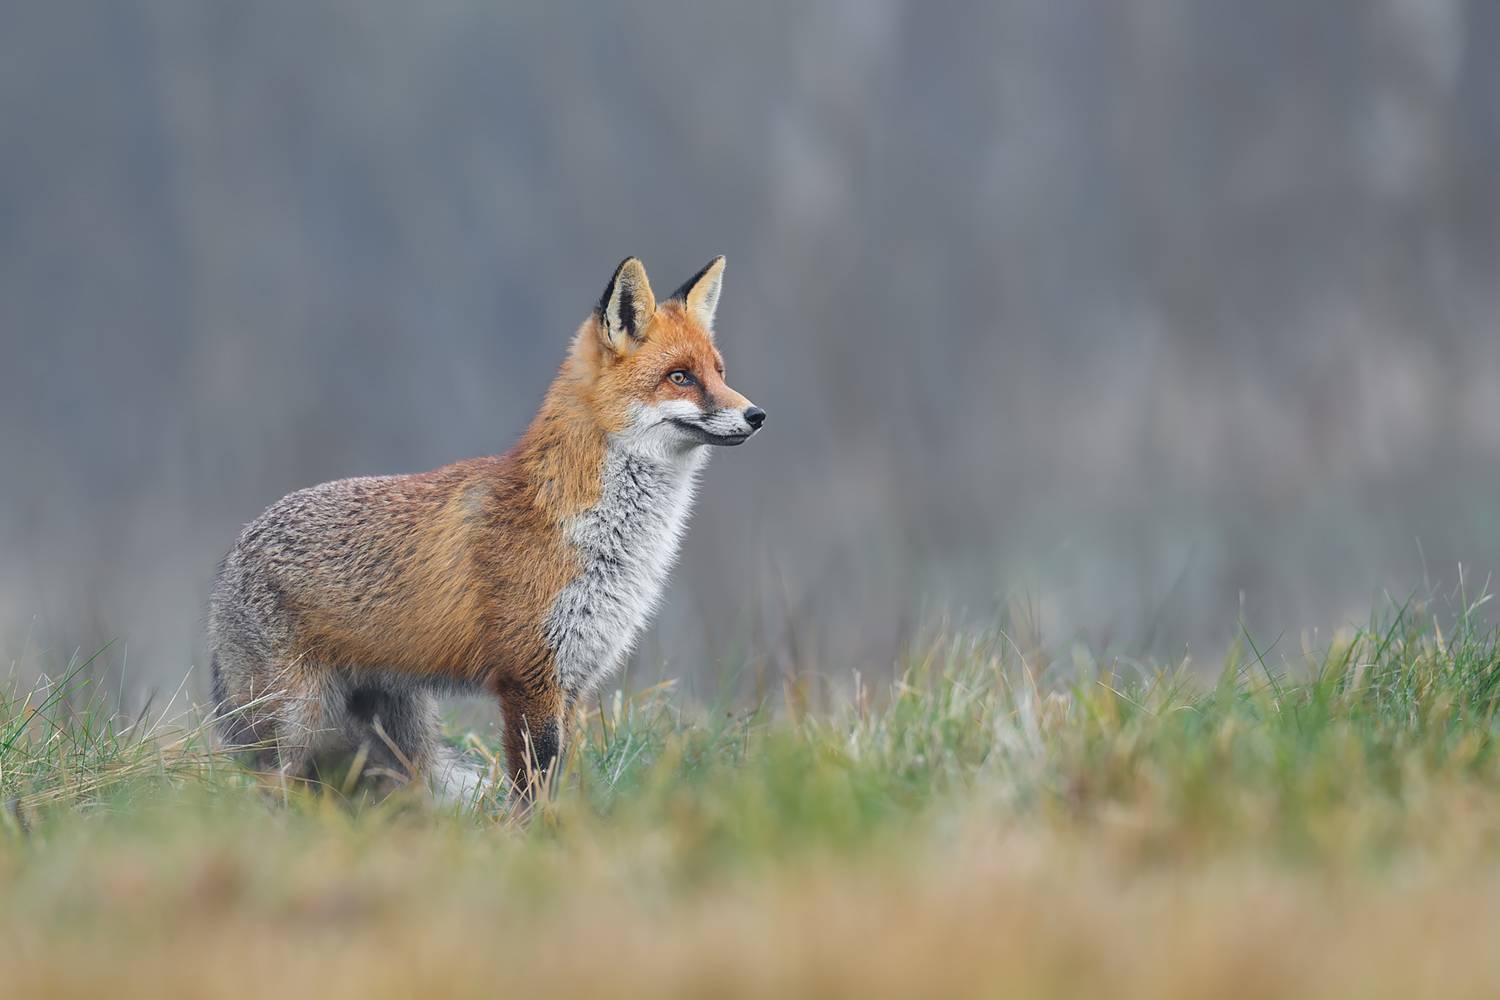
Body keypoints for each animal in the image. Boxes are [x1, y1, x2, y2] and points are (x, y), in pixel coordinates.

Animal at [208, 256, 763, 799]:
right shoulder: (529, 676)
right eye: (680, 377)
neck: (600, 537)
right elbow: (533, 786)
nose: (756, 414)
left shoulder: (572, 679)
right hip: (296, 724)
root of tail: (228, 561)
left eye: (719, 372)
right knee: (264, 790)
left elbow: (557, 779)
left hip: (398, 744)